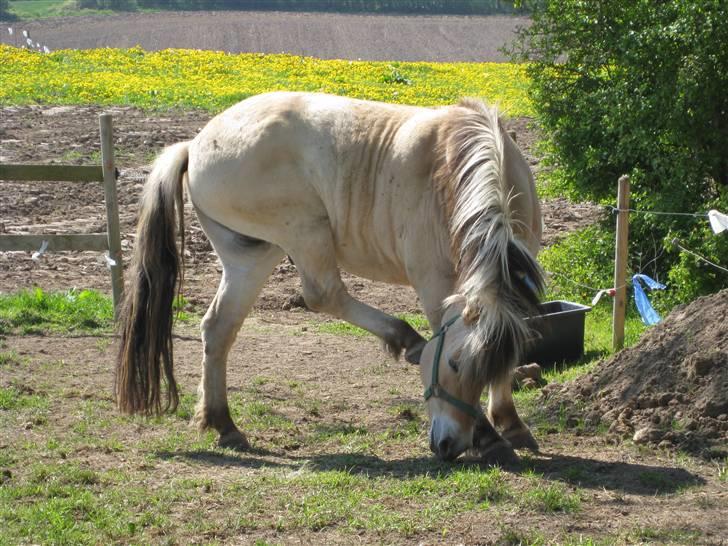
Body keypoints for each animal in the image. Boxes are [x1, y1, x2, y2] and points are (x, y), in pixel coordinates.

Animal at [116, 91, 544, 462]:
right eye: (454, 365)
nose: (450, 446)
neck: (454, 165)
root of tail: (195, 143)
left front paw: (509, 422)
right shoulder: (435, 284)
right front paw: (490, 435)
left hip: (251, 257)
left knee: (219, 328)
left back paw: (224, 423)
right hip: (303, 229)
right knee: (323, 293)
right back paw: (403, 338)